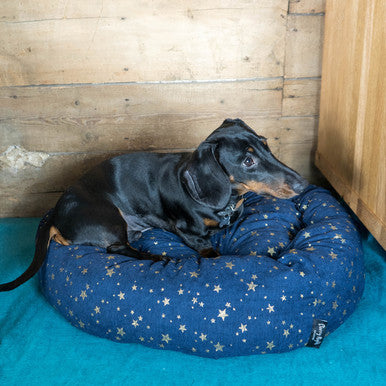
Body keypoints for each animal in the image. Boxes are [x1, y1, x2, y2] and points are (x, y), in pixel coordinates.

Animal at [0, 119, 308, 292]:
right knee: (117, 248)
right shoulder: (190, 232)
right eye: (247, 161)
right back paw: (158, 257)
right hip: (110, 219)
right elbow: (212, 252)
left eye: (266, 144)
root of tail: (56, 213)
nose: (304, 185)